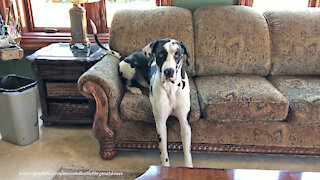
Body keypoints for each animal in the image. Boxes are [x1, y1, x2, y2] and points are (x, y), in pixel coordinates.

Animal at [91, 20, 194, 167]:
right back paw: (135, 89)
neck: (170, 88)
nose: (168, 71)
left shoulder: (185, 123)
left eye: (177, 54)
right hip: (129, 67)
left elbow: (187, 152)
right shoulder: (160, 123)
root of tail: (126, 56)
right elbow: (164, 152)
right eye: (160, 54)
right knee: (127, 83)